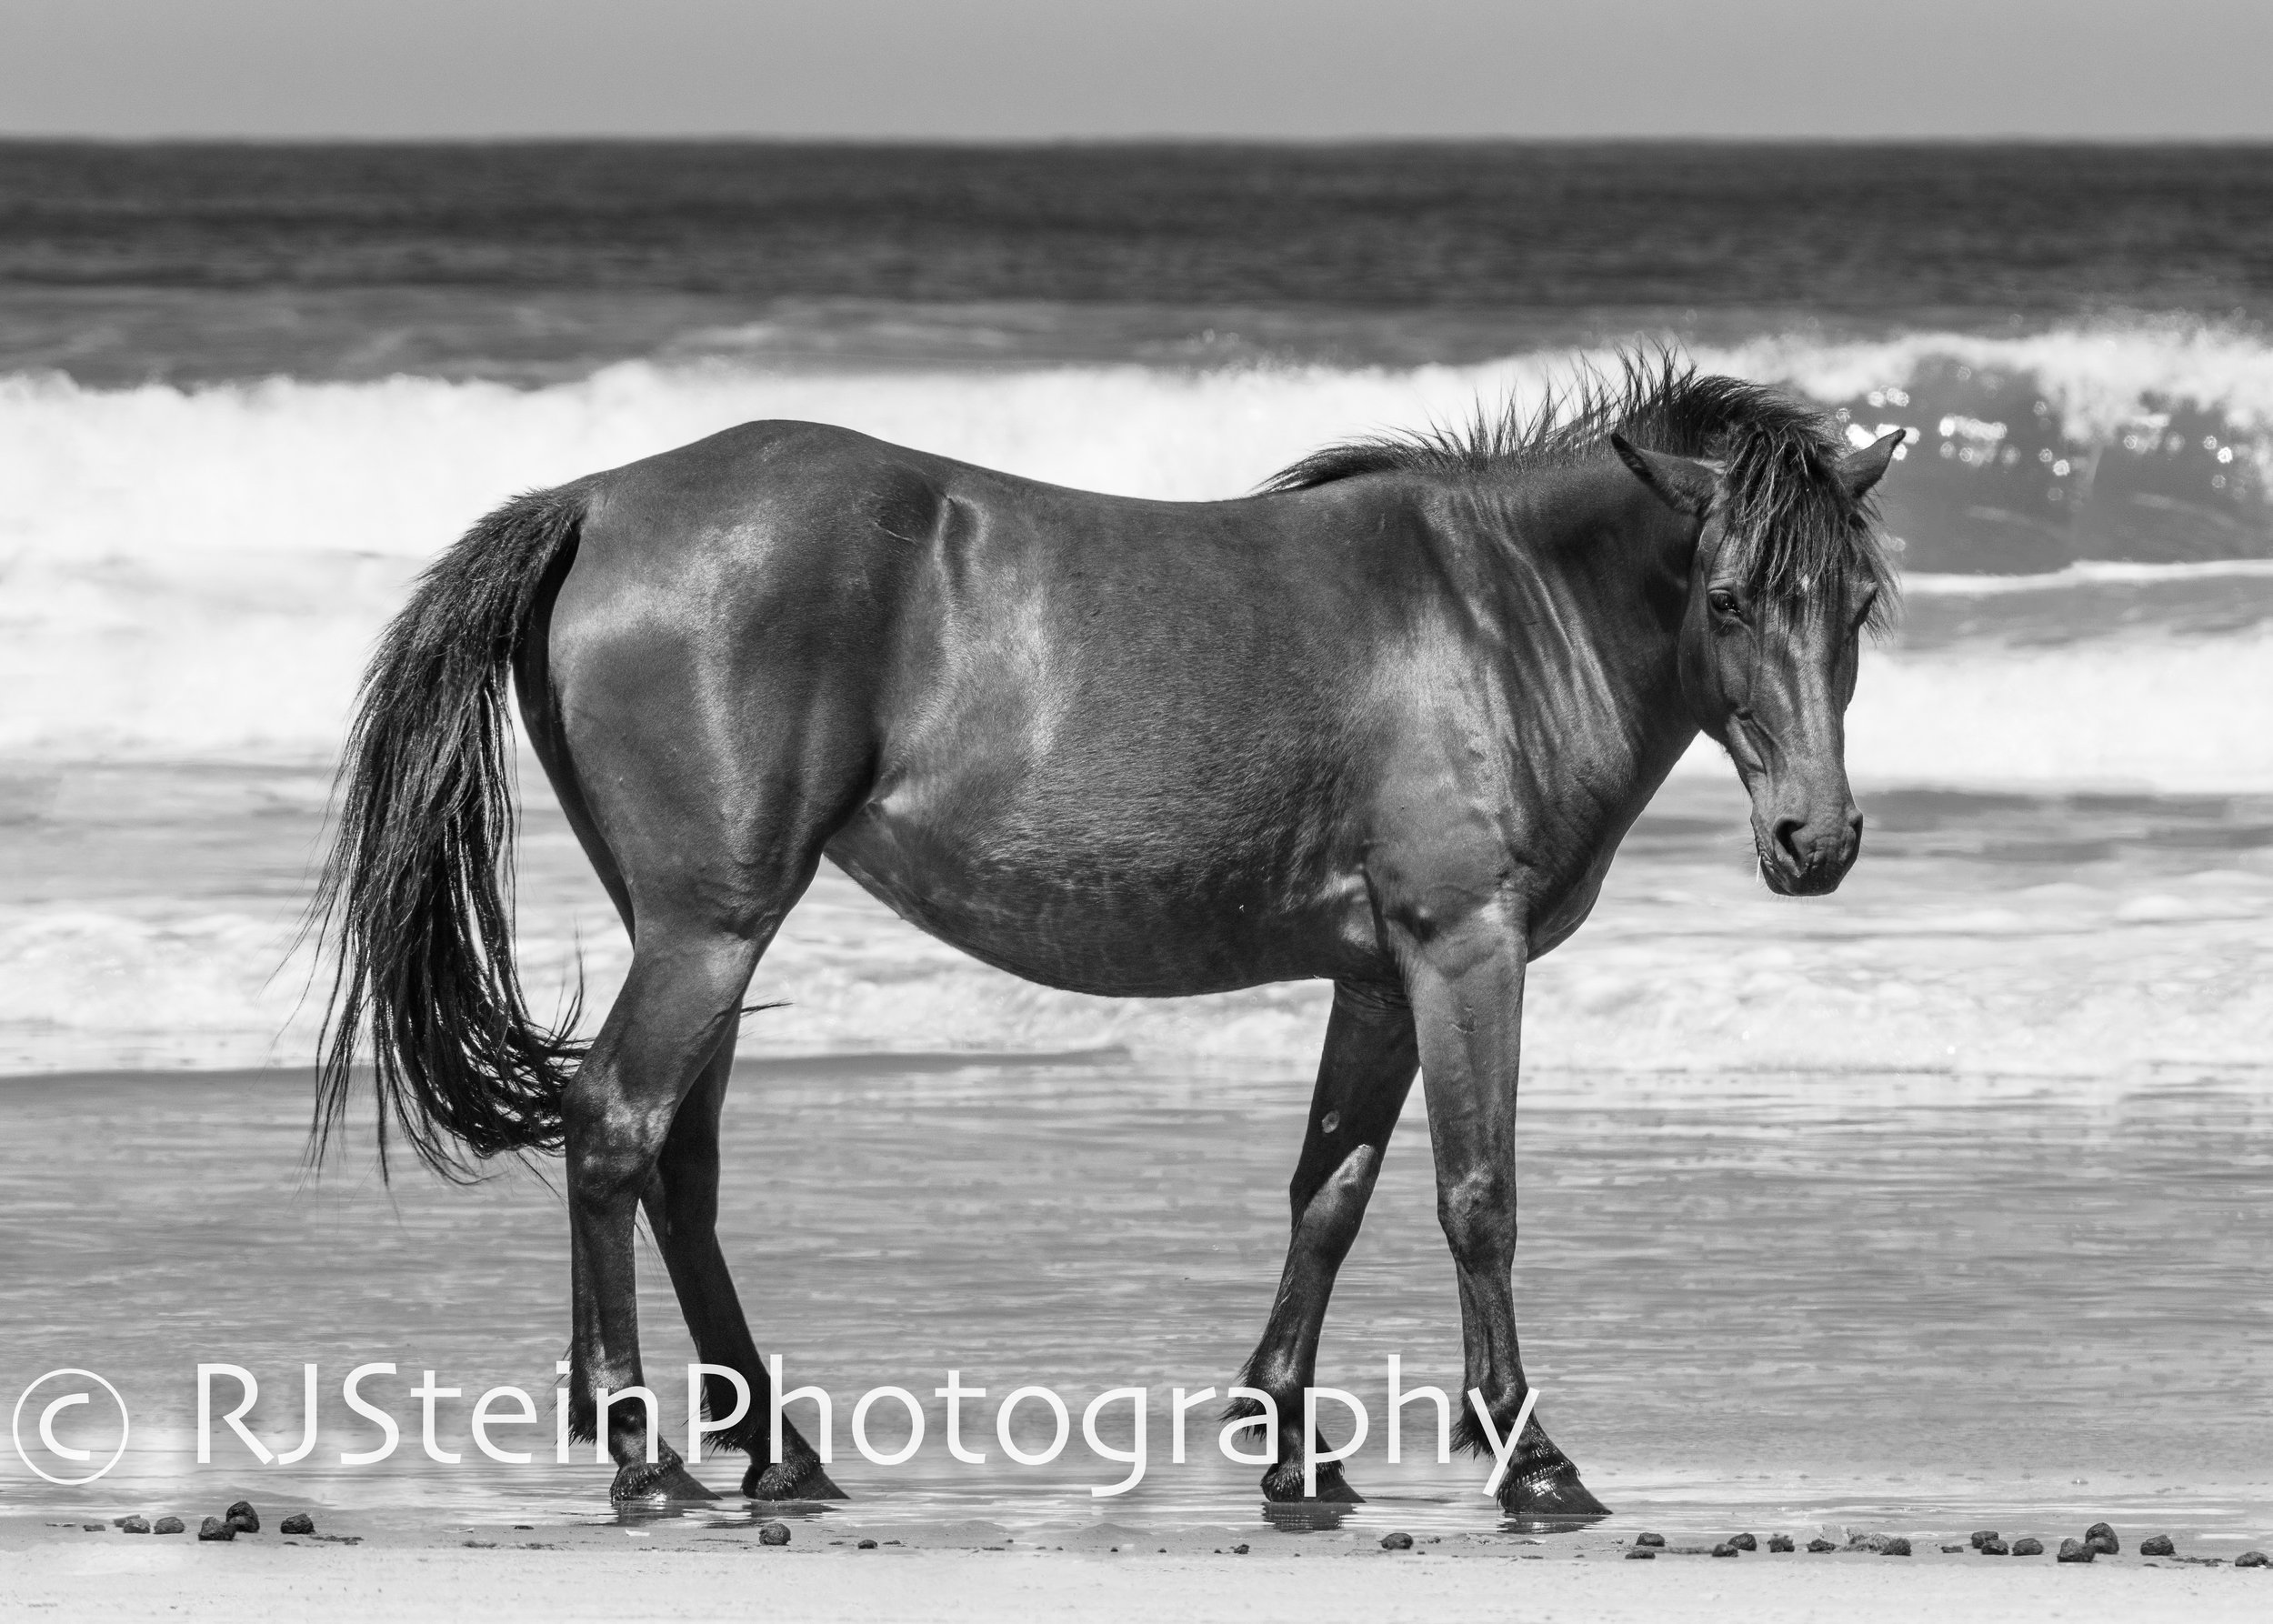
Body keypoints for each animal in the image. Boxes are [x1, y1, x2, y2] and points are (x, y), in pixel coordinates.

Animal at [306, 355, 1900, 1500]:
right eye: (1730, 595)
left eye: (1859, 606)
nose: (1815, 843)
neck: (1493, 615)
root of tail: (596, 499)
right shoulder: (1463, 946)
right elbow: (1477, 1196)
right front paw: (1531, 1455)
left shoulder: (1380, 977)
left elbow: (1330, 1193)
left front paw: (1290, 1436)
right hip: (710, 925)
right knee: (616, 1129)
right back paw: (639, 1443)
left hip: (689, 929)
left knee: (676, 1167)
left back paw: (773, 1445)